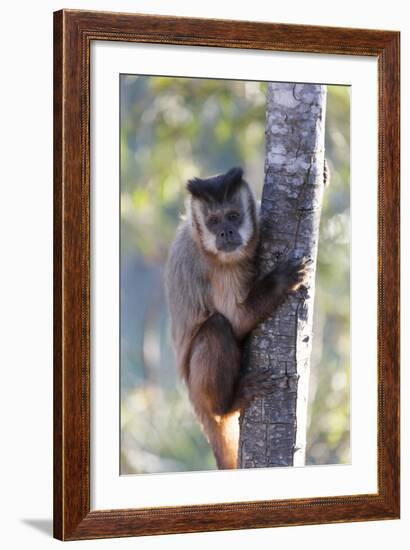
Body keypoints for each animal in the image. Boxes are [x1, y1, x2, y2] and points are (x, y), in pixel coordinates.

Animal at [165, 167, 310, 470]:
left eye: (233, 216)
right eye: (213, 221)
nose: (226, 232)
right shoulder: (217, 267)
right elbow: (237, 320)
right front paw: (279, 281)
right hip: (199, 388)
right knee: (217, 326)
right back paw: (228, 403)